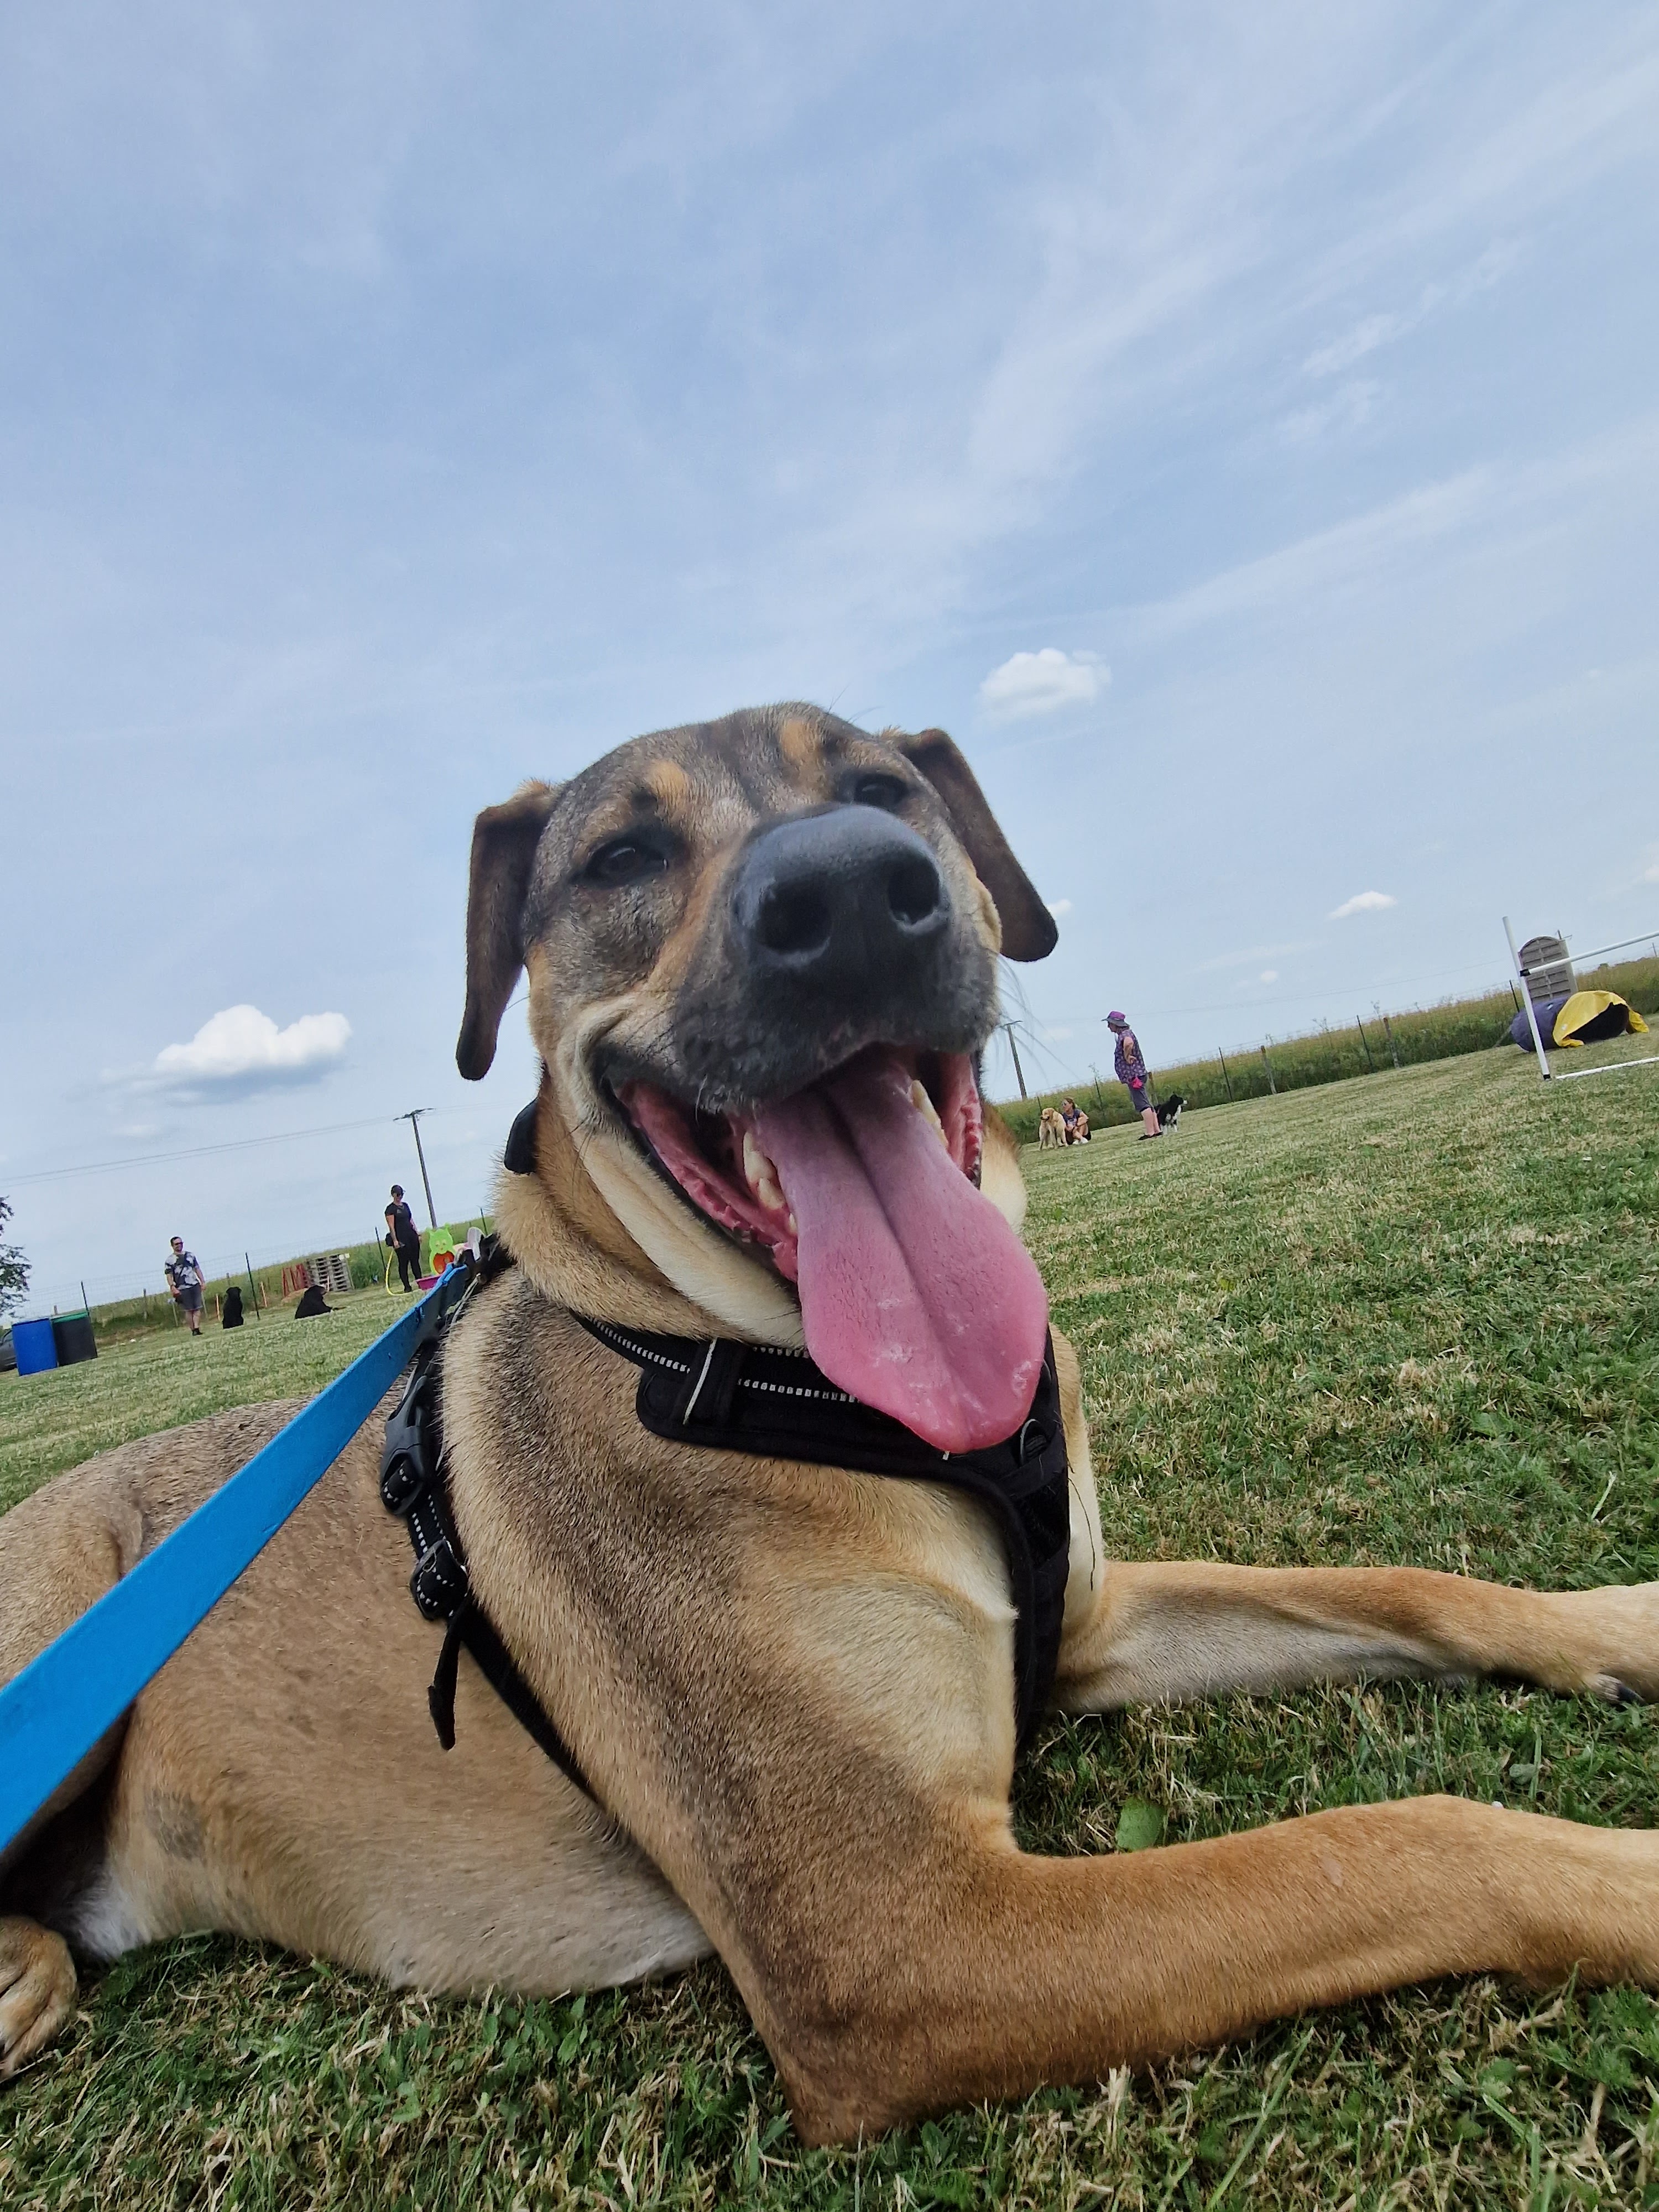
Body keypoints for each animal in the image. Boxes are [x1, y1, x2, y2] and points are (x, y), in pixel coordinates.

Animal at [4, 704, 1659, 2143]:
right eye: (620, 855)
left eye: (881, 788)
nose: (855, 894)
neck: (790, 1386)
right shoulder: (897, 1940)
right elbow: (1395, 1838)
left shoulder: (1085, 1626)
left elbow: (1406, 1585)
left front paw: (1618, 1623)